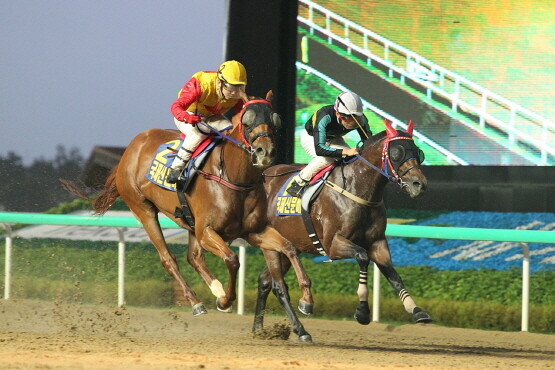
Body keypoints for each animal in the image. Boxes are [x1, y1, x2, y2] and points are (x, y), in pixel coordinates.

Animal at [65, 91, 312, 322]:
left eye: (275, 119)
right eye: (247, 119)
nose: (265, 152)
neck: (233, 177)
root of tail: (131, 148)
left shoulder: (253, 231)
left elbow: (289, 247)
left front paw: (306, 299)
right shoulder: (207, 231)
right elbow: (232, 260)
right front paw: (225, 300)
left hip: (190, 223)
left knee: (193, 257)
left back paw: (215, 289)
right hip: (143, 209)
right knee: (169, 259)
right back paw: (196, 302)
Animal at [254, 119, 432, 342]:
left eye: (418, 152)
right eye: (396, 153)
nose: (419, 185)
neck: (357, 189)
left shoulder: (378, 243)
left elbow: (393, 275)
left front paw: (417, 310)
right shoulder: (333, 245)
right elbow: (362, 257)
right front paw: (362, 312)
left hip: (290, 245)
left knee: (265, 281)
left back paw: (259, 329)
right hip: (269, 243)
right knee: (278, 286)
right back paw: (301, 328)